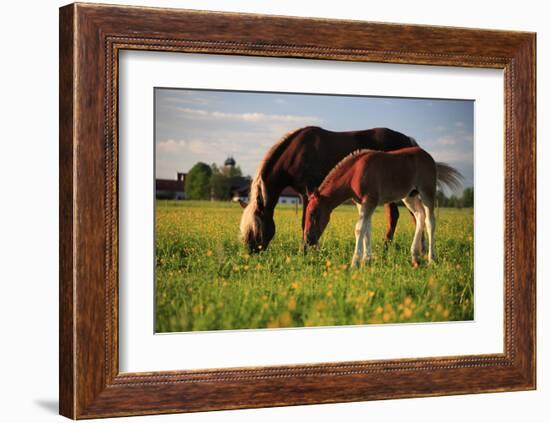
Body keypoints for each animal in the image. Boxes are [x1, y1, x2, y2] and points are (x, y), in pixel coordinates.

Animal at [239, 126, 420, 252]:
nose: (250, 252)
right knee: (401, 215)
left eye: (254, 229)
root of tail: (408, 140)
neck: (296, 154)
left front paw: (306, 250)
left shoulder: (308, 192)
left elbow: (305, 221)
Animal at [304, 148, 464, 268]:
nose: (308, 239)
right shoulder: (361, 204)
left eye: (313, 213)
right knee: (420, 216)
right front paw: (367, 260)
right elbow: (367, 230)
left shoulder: (370, 201)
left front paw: (355, 262)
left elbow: (359, 229)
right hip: (410, 196)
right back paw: (414, 255)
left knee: (430, 221)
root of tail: (430, 158)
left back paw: (431, 259)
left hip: (427, 192)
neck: (355, 173)